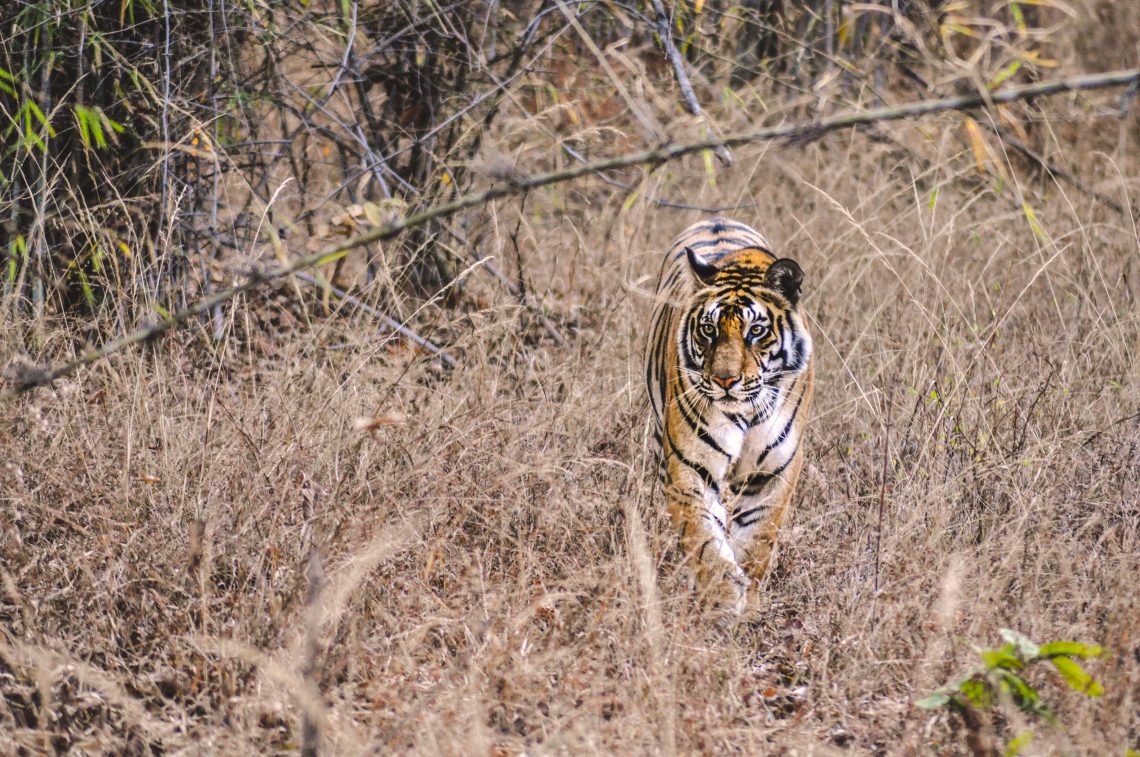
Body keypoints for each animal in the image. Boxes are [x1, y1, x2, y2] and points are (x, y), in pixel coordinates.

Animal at [647, 215, 816, 611]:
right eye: (709, 329)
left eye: (757, 331)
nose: (724, 380)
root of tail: (716, 218)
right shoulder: (690, 468)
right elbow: (704, 540)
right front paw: (722, 599)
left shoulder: (773, 473)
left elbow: (757, 541)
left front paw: (748, 602)